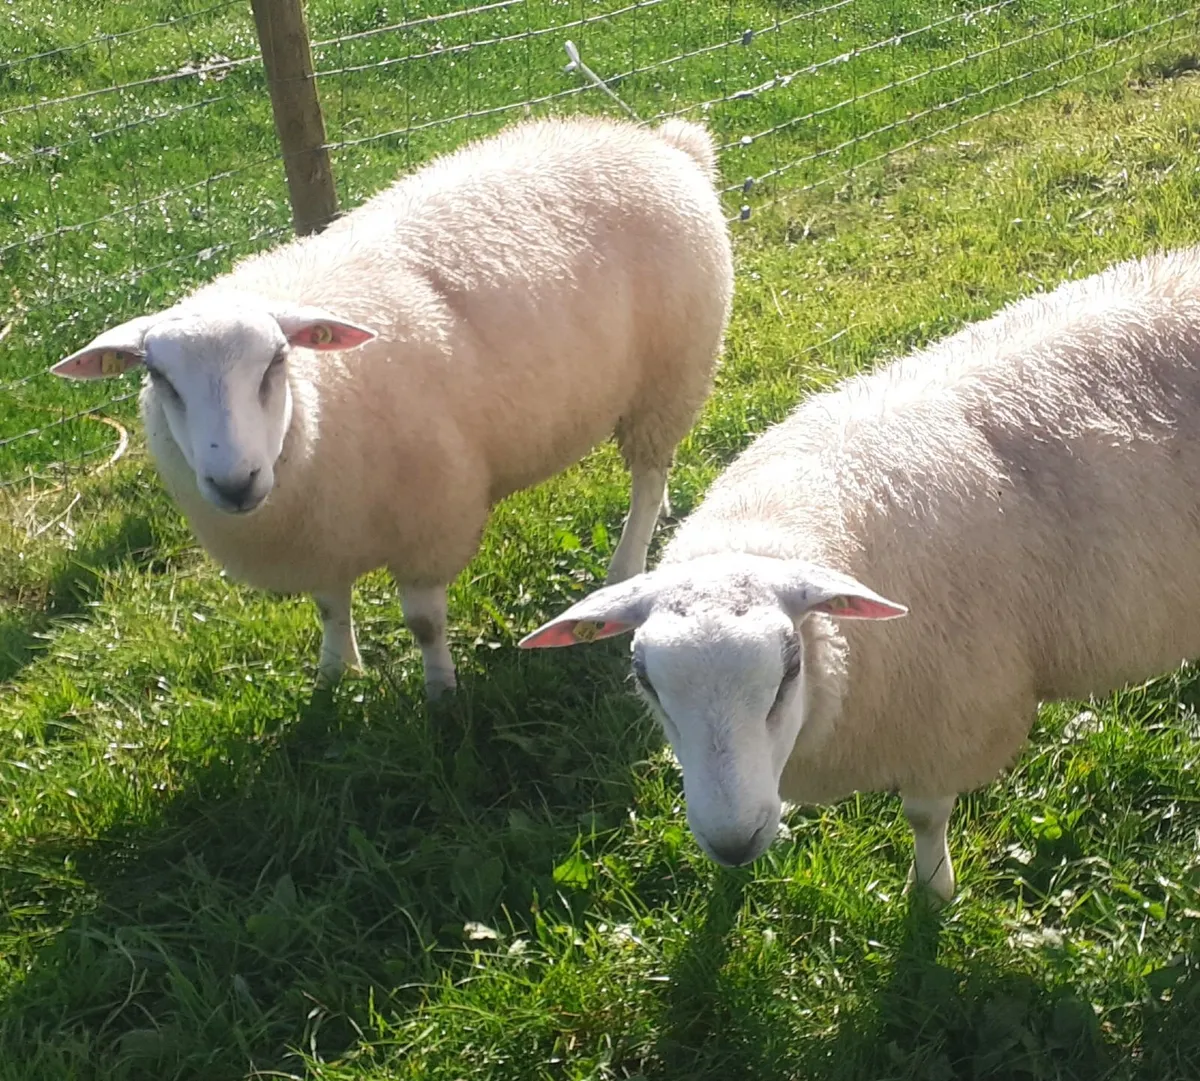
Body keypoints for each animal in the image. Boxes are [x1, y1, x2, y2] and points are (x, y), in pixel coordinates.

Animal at [50, 115, 734, 697]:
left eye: (276, 361)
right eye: (158, 376)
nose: (234, 482)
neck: (322, 402)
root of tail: (664, 144)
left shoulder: (431, 520)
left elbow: (425, 624)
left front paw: (440, 696)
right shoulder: (324, 533)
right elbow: (330, 606)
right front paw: (336, 672)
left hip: (672, 373)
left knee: (647, 476)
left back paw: (626, 564)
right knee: (656, 471)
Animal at [519, 245, 1200, 901]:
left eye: (790, 669)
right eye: (646, 682)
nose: (734, 845)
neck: (767, 522)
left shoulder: (950, 718)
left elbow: (925, 816)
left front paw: (932, 893)